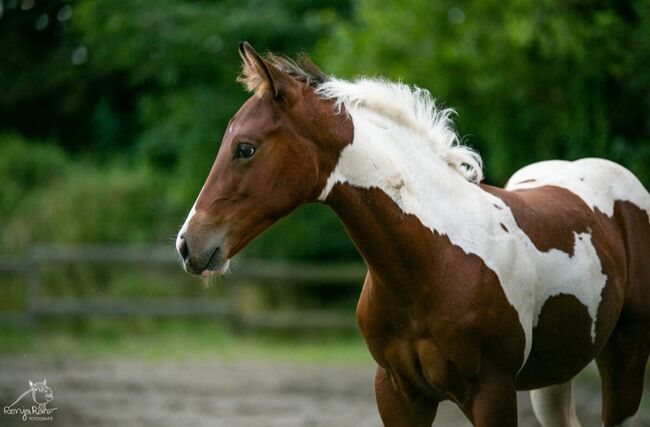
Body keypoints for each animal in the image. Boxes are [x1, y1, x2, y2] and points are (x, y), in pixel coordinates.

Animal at [173, 41, 648, 427]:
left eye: (245, 148)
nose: (187, 244)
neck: (433, 260)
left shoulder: (492, 392)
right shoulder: (398, 393)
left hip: (625, 353)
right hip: (555, 374)